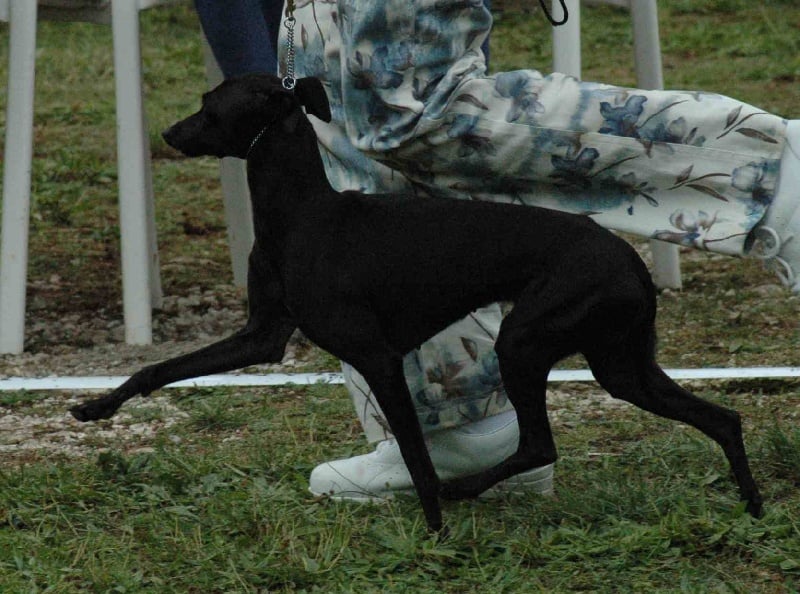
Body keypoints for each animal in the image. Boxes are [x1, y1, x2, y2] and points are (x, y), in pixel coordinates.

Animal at [73, 71, 764, 528]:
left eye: (209, 106)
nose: (169, 132)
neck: (302, 215)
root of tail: (629, 261)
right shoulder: (260, 338)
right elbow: (160, 368)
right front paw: (98, 406)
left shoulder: (376, 358)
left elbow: (418, 457)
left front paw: (434, 530)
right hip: (622, 366)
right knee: (722, 418)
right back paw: (753, 505)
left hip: (525, 341)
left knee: (539, 444)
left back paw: (468, 493)